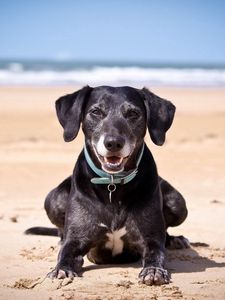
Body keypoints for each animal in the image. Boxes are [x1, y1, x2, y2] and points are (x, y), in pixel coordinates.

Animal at [25, 85, 189, 284]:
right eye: (96, 112)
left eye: (133, 113)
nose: (113, 143)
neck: (113, 184)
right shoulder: (76, 239)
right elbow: (66, 253)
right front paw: (60, 269)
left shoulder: (150, 239)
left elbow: (156, 252)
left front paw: (154, 270)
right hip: (54, 198)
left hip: (177, 202)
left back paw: (174, 240)